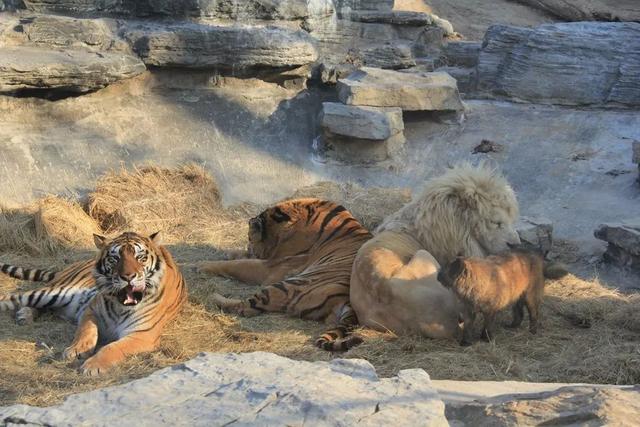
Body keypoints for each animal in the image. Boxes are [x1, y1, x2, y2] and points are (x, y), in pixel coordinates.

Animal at [1, 232, 188, 376]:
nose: (128, 277)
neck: (121, 305)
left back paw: (24, 316)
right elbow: (86, 330)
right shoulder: (91, 309)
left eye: (140, 258)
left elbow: (112, 348)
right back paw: (23, 314)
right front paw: (76, 350)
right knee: (14, 298)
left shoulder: (142, 334)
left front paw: (92, 366)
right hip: (56, 292)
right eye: (114, 258)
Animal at [198, 197, 372, 352]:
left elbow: (239, 265)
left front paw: (201, 265)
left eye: (249, 238)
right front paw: (229, 253)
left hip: (287, 285)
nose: (249, 247)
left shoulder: (273, 267)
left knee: (246, 308)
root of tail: (348, 303)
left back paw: (212, 296)